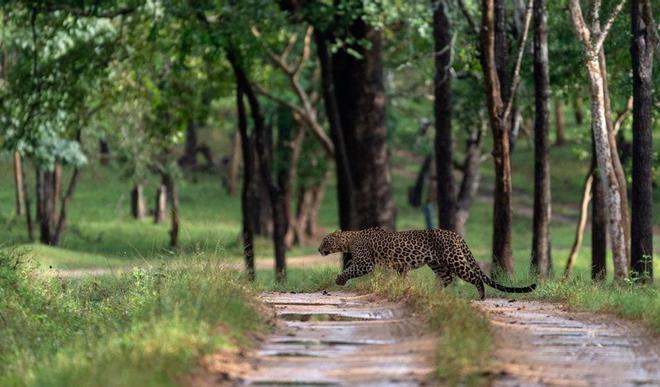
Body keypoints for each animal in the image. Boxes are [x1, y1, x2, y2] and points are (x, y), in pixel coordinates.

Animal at [320, 227, 536, 300]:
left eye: (325, 241)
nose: (318, 249)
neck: (349, 239)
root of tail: (455, 234)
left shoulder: (365, 263)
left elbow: (350, 270)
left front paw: (339, 280)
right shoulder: (399, 266)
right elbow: (401, 278)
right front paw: (403, 288)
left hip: (454, 259)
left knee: (474, 276)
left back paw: (481, 297)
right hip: (437, 263)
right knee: (447, 278)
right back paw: (434, 292)